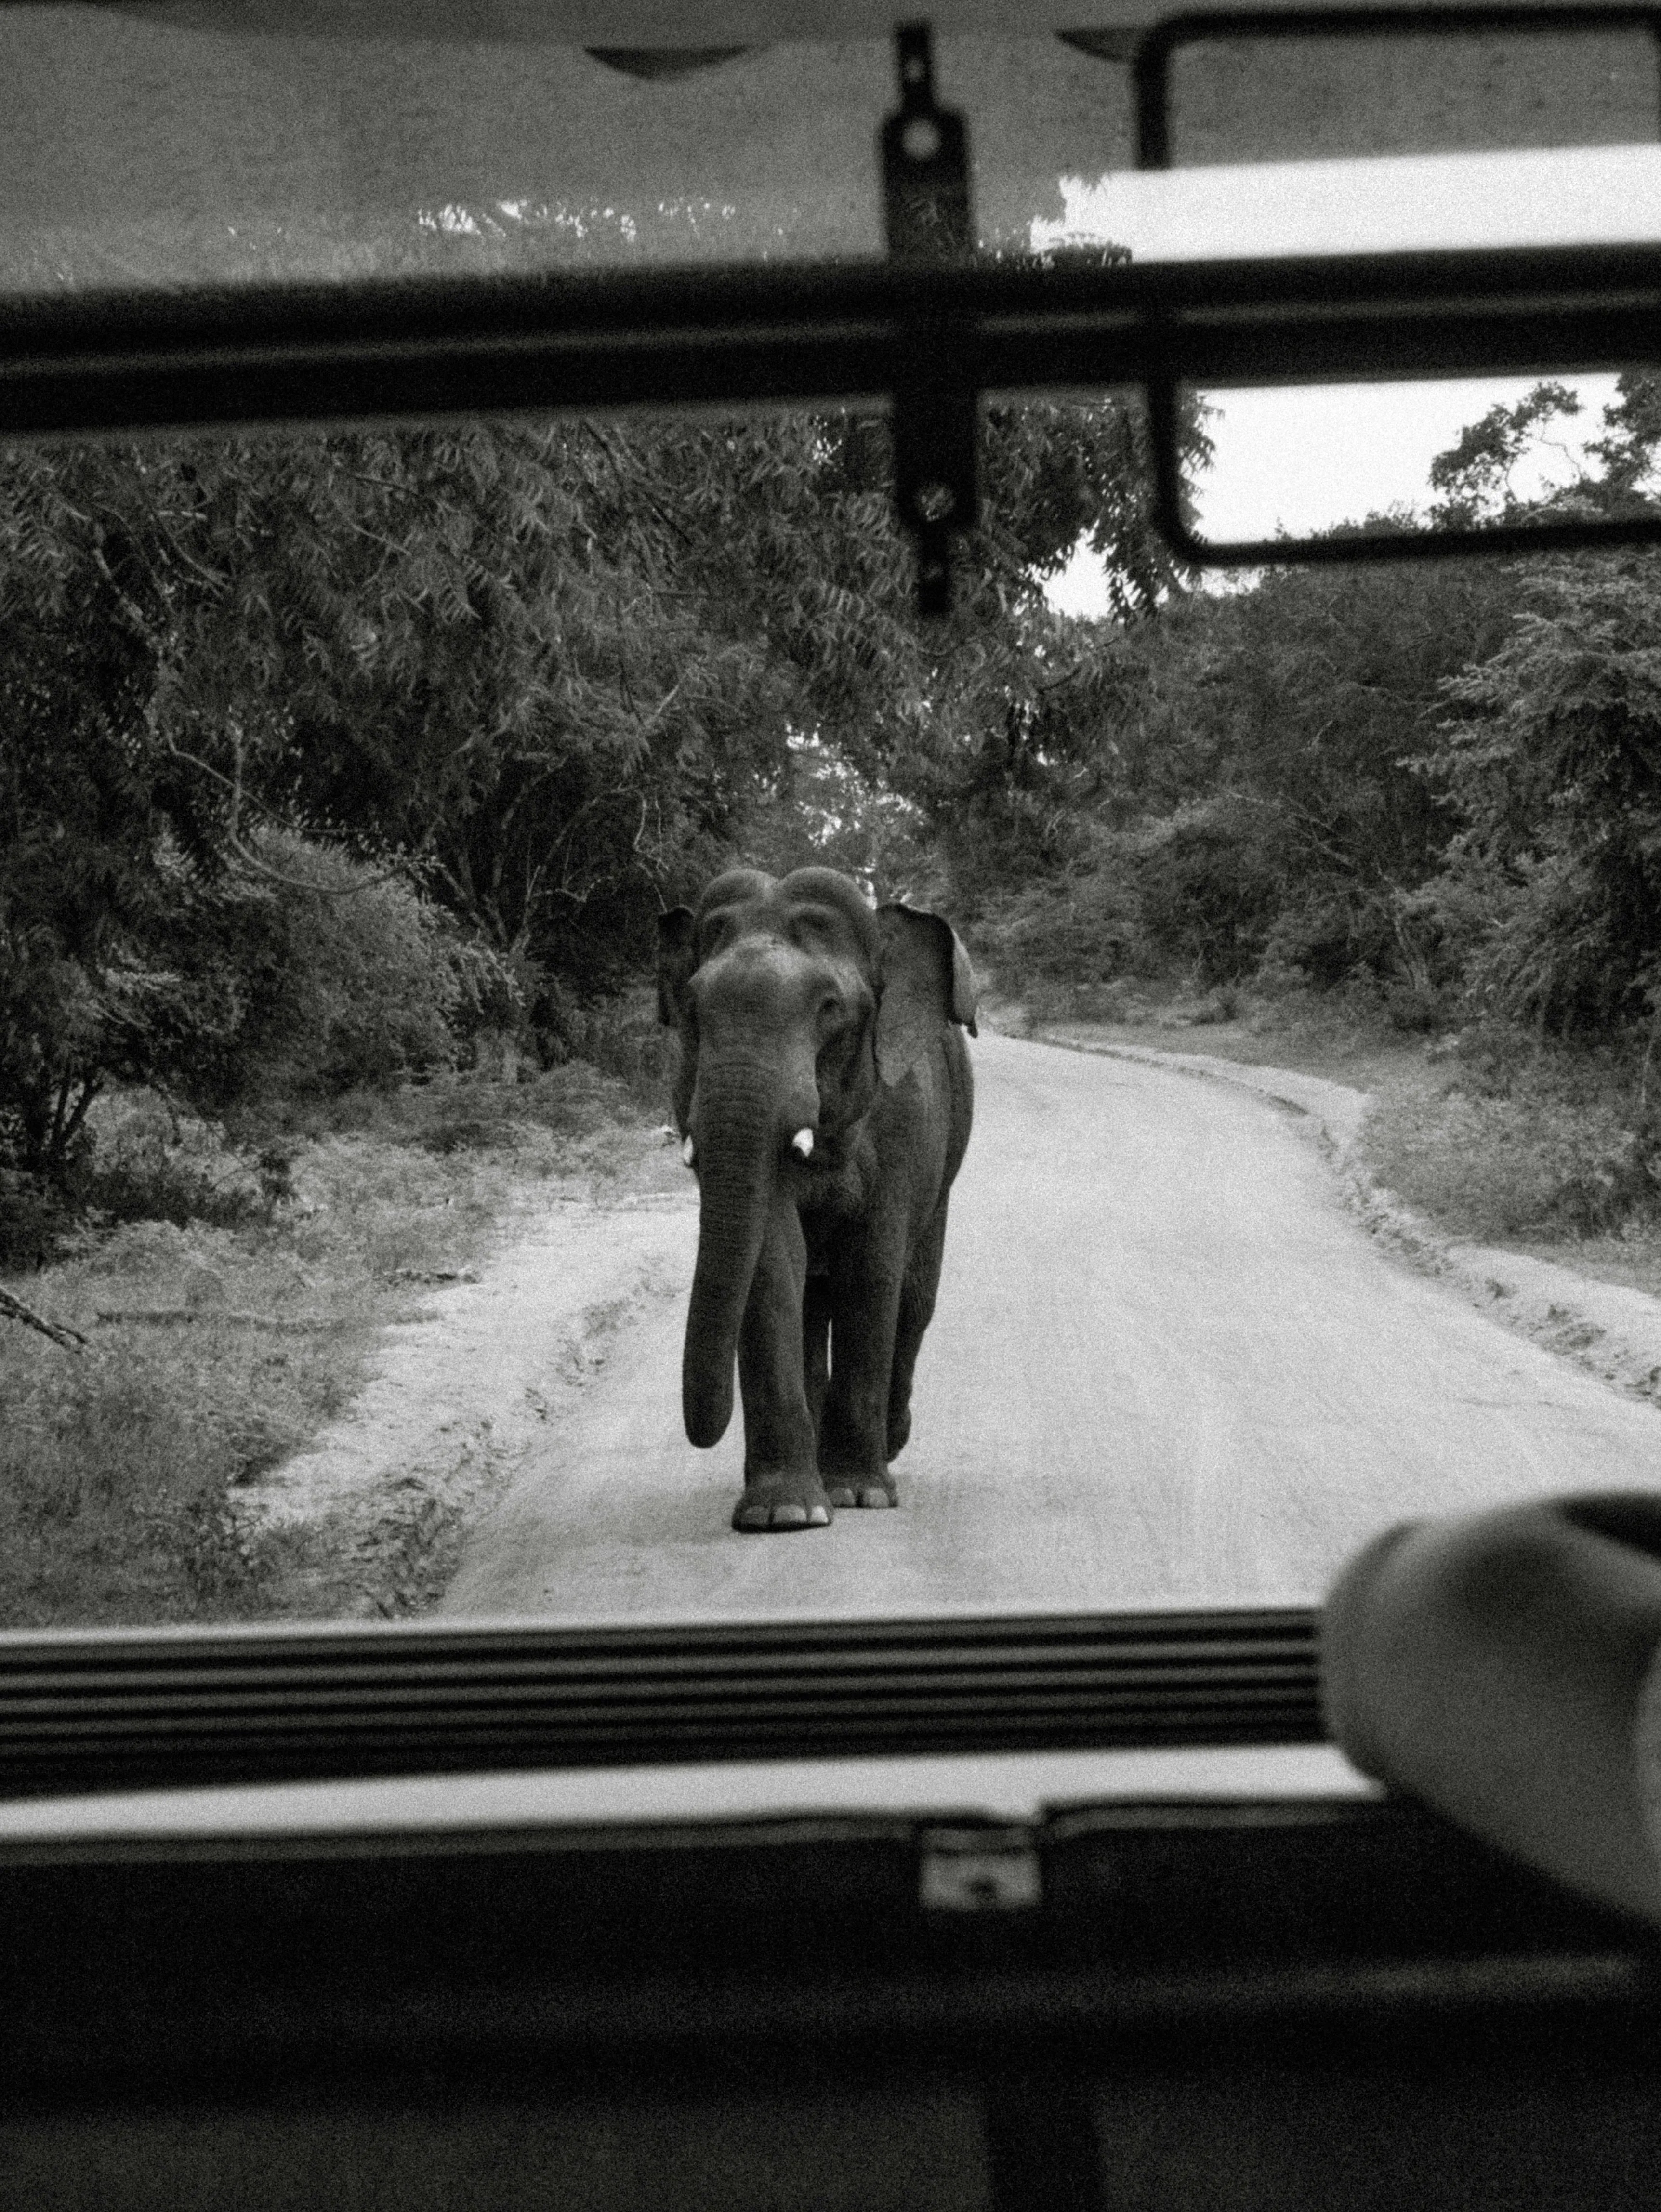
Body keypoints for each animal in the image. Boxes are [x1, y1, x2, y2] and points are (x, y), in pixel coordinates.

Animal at [656, 866, 976, 1532]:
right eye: (693, 1008)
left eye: (829, 1007)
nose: (703, 1431)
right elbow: (773, 1263)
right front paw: (785, 1512)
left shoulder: (905, 1122)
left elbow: (871, 1268)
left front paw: (860, 1493)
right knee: (811, 1298)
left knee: (915, 1297)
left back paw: (887, 1444)